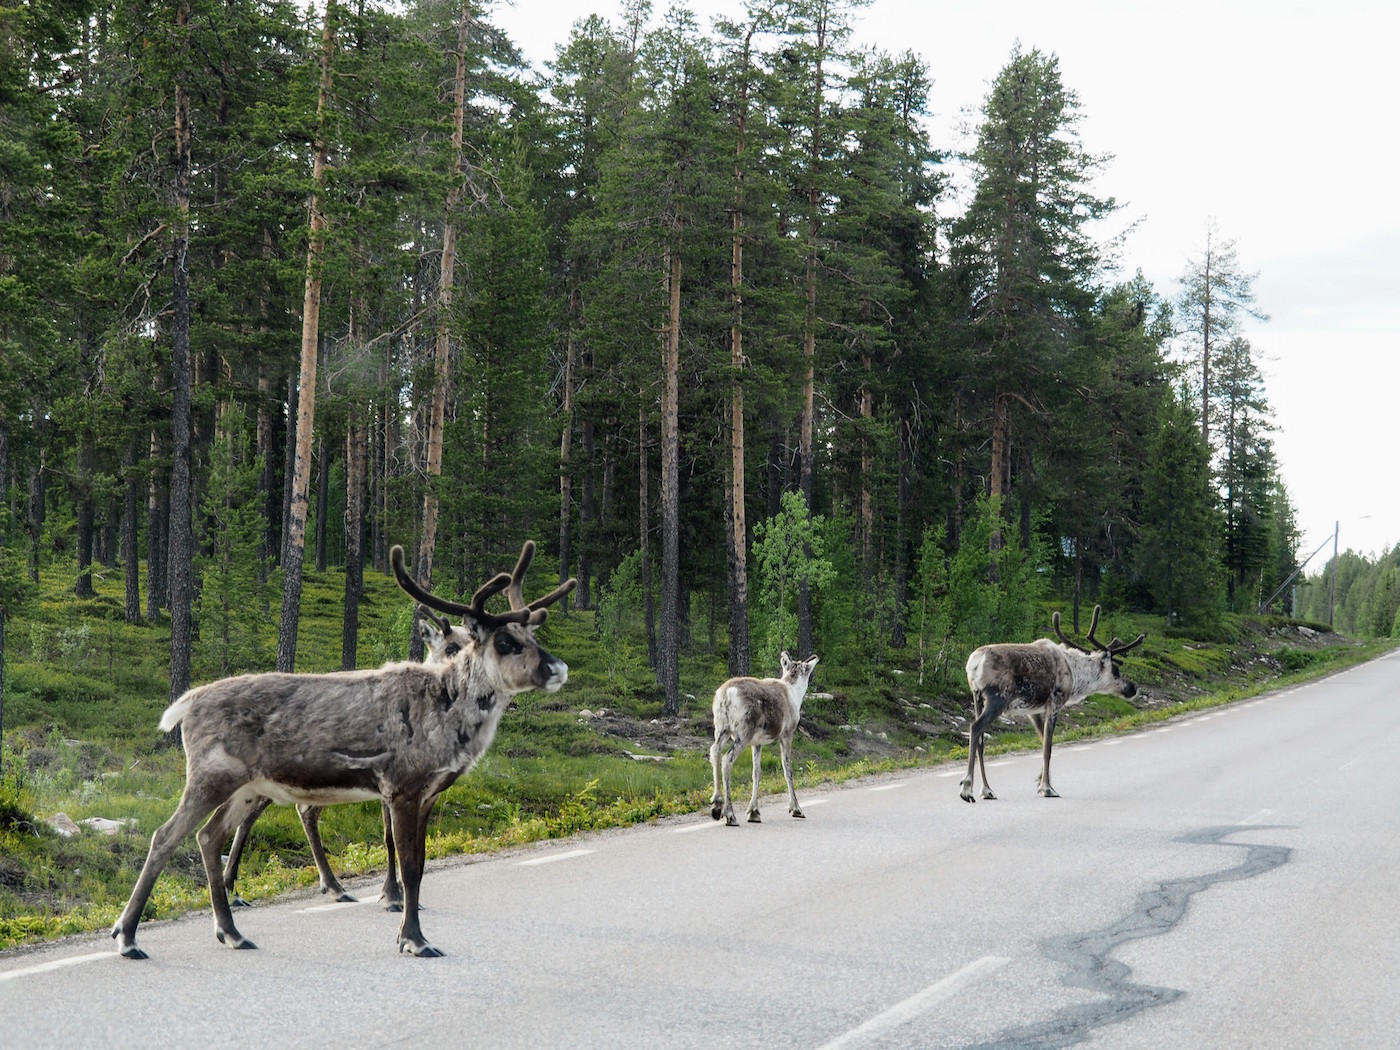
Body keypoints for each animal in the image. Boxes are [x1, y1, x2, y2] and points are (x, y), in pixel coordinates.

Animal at [711, 649, 817, 828]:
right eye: (806, 668)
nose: (813, 658)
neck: (794, 693)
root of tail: (726, 694)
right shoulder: (787, 734)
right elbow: (787, 770)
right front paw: (796, 809)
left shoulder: (757, 743)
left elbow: (756, 773)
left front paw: (753, 812)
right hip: (743, 733)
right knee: (726, 760)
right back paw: (730, 815)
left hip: (721, 729)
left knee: (714, 752)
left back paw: (716, 806)